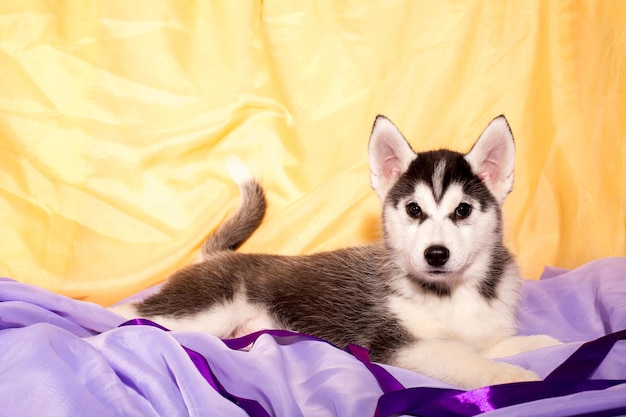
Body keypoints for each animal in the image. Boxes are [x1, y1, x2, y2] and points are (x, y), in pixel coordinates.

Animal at [114, 115, 560, 388]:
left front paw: (549, 346)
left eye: (462, 210)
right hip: (204, 310)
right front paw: (517, 379)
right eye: (414, 210)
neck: (452, 292)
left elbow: (503, 346)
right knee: (134, 313)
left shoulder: (481, 332)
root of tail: (217, 256)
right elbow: (468, 361)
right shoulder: (395, 343)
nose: (436, 254)